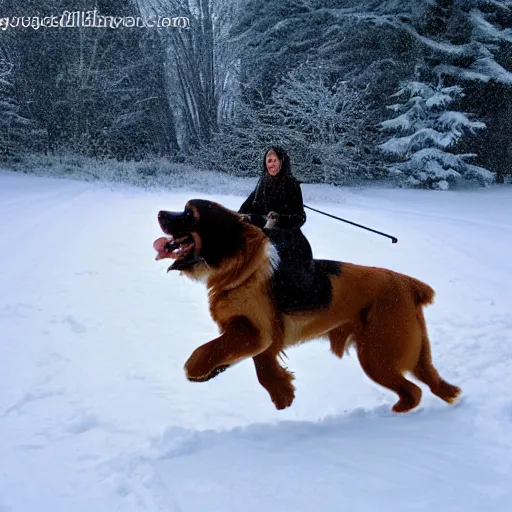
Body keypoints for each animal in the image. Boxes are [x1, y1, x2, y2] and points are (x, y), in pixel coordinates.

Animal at [152, 199, 460, 412]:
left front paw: (197, 369)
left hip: (378, 354)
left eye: (188, 213)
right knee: (431, 382)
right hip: (406, 350)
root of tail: (408, 283)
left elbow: (206, 351)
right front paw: (282, 393)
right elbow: (259, 364)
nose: (160, 213)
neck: (243, 270)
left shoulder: (253, 331)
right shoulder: (260, 334)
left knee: (414, 391)